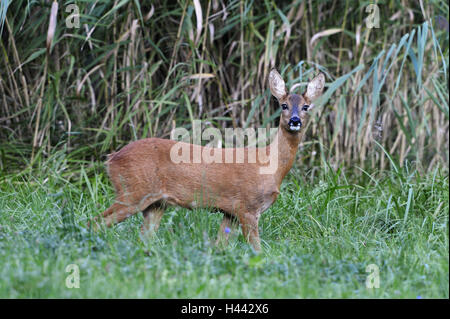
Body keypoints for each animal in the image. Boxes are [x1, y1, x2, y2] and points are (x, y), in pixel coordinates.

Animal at [93, 69, 326, 251]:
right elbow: (257, 248)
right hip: (132, 191)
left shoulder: (230, 212)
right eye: (284, 105)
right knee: (96, 221)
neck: (270, 165)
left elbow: (219, 245)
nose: (295, 120)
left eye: (306, 107)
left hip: (155, 203)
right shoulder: (247, 207)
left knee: (142, 237)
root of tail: (111, 159)